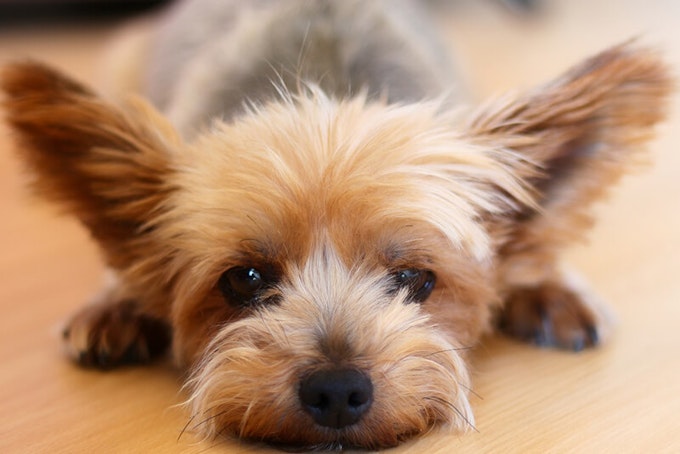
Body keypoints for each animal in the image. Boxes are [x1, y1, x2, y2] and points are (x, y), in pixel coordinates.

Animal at [0, 0, 668, 448]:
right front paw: (117, 302)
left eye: (414, 278)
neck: (320, 82)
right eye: (244, 279)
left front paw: (552, 285)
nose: (338, 391)